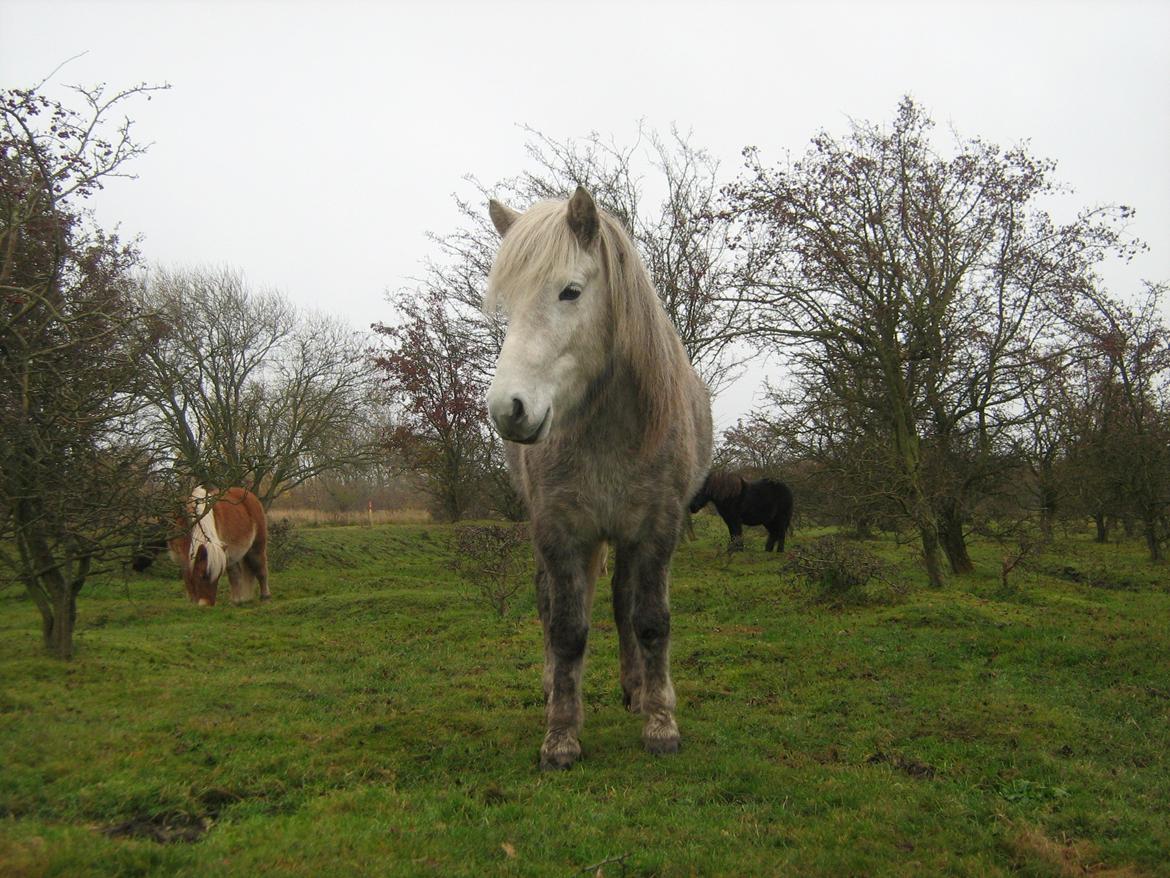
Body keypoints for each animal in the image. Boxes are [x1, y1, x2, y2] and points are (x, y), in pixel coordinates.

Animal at [484, 187, 711, 767]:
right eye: (508, 302)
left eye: (570, 292)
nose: (507, 409)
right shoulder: (560, 531)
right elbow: (567, 629)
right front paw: (561, 735)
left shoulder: (657, 528)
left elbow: (649, 620)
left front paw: (660, 722)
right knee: (552, 603)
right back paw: (553, 687)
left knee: (621, 601)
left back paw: (635, 689)